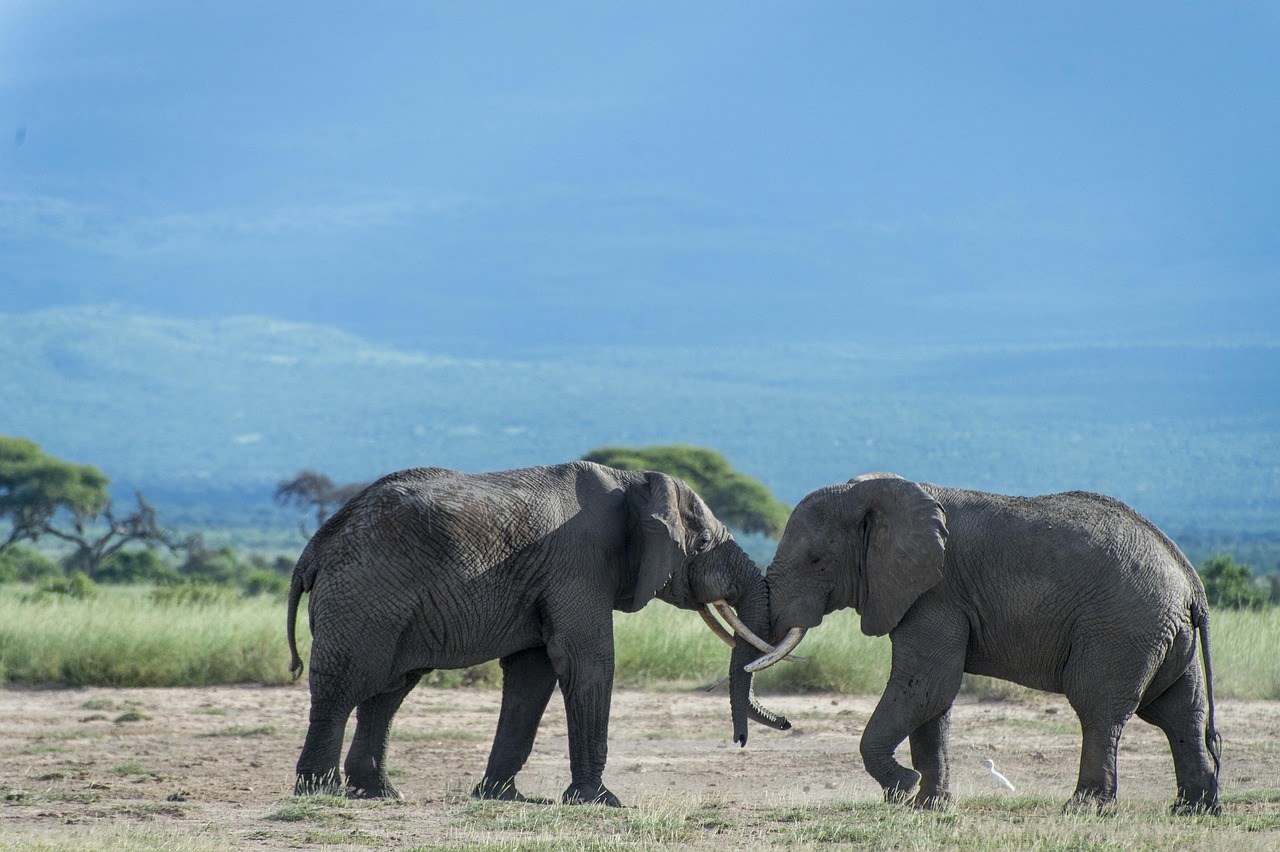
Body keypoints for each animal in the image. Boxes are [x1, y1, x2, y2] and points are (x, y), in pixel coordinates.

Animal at [285, 457, 788, 803]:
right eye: (700, 543)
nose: (777, 725)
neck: (630, 479)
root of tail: (316, 546)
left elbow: (533, 672)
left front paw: (501, 797)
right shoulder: (578, 564)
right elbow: (587, 661)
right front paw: (602, 802)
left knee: (388, 690)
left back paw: (380, 793)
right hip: (362, 596)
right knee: (345, 686)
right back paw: (319, 791)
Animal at [752, 468, 1223, 813]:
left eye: (816, 560)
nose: (785, 722)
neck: (880, 490)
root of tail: (1190, 582)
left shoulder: (936, 592)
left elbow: (926, 686)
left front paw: (902, 789)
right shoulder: (928, 594)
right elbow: (934, 699)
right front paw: (928, 806)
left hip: (1121, 628)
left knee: (1100, 709)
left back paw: (1084, 808)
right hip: (1162, 634)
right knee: (1181, 713)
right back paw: (1193, 810)